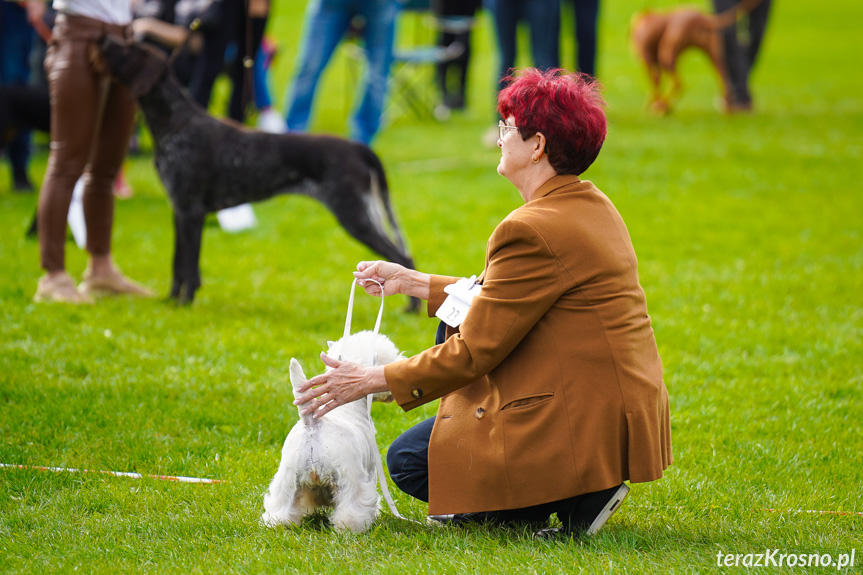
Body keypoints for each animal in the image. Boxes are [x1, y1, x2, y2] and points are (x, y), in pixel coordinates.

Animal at [96, 36, 416, 308]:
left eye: (127, 48)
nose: (103, 39)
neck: (176, 122)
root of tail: (358, 147)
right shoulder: (179, 209)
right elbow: (178, 264)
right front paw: (171, 301)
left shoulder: (191, 212)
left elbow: (188, 266)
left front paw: (184, 303)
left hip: (354, 215)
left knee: (402, 258)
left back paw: (411, 310)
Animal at [628, 0, 764, 112]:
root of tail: (703, 19)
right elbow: (656, 85)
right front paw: (652, 102)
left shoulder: (648, 61)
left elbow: (655, 84)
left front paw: (655, 104)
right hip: (715, 56)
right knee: (726, 83)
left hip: (667, 53)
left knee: (679, 84)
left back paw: (663, 106)